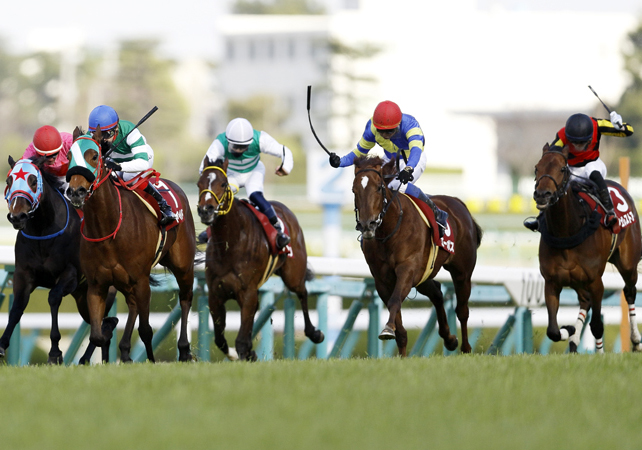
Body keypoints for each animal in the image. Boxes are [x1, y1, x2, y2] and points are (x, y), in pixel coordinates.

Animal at [3, 156, 117, 364]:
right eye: (9, 181)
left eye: (33, 181)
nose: (17, 216)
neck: (42, 231)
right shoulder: (23, 274)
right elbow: (16, 308)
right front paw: (1, 345)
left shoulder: (69, 275)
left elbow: (53, 297)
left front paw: (54, 352)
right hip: (82, 297)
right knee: (102, 323)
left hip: (102, 291)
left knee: (105, 323)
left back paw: (88, 357)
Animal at [65, 127, 197, 362]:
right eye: (70, 156)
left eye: (95, 156)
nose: (76, 191)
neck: (107, 230)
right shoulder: (97, 285)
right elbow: (97, 335)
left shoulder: (141, 280)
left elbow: (146, 330)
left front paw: (151, 361)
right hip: (124, 282)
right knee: (133, 305)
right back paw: (125, 351)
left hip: (182, 265)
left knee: (185, 298)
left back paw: (184, 350)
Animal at [196, 156, 324, 361]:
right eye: (199, 183)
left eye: (223, 184)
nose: (205, 210)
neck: (230, 244)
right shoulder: (216, 293)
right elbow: (220, 339)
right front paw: (242, 353)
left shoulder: (247, 291)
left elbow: (240, 340)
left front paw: (247, 352)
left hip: (293, 274)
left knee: (302, 292)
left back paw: (314, 333)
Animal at [352, 155, 483, 357]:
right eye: (354, 190)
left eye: (379, 187)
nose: (368, 225)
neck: (388, 231)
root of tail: (458, 202)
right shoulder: (382, 279)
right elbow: (397, 319)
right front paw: (399, 349)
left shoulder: (407, 269)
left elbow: (395, 300)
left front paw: (387, 329)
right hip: (423, 275)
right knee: (437, 293)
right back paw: (450, 339)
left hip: (462, 272)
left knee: (462, 309)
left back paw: (466, 348)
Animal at [532, 143, 642, 352]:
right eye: (536, 168)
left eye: (562, 169)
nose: (542, 195)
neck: (567, 231)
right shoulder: (552, 282)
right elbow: (553, 331)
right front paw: (569, 330)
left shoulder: (596, 282)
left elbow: (597, 325)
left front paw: (599, 353)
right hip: (576, 280)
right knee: (585, 301)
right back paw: (574, 340)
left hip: (628, 263)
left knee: (630, 291)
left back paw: (636, 340)